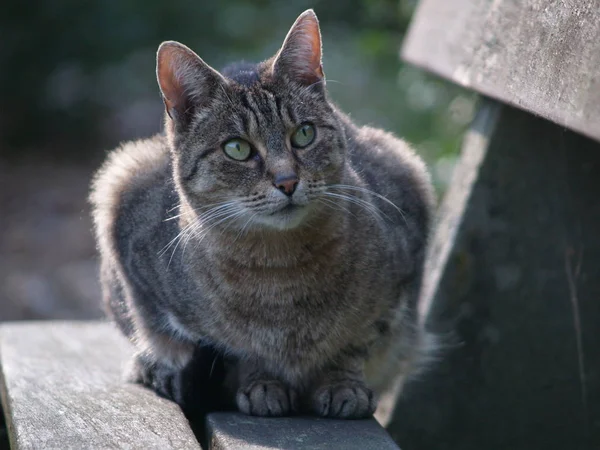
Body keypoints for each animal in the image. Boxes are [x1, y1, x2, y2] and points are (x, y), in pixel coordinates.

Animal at [90, 8, 436, 420]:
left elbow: (355, 343)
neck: (281, 271)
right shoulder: (126, 216)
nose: (287, 181)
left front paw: (343, 385)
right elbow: (235, 348)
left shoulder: (402, 256)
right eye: (237, 148)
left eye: (304, 134)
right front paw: (263, 383)